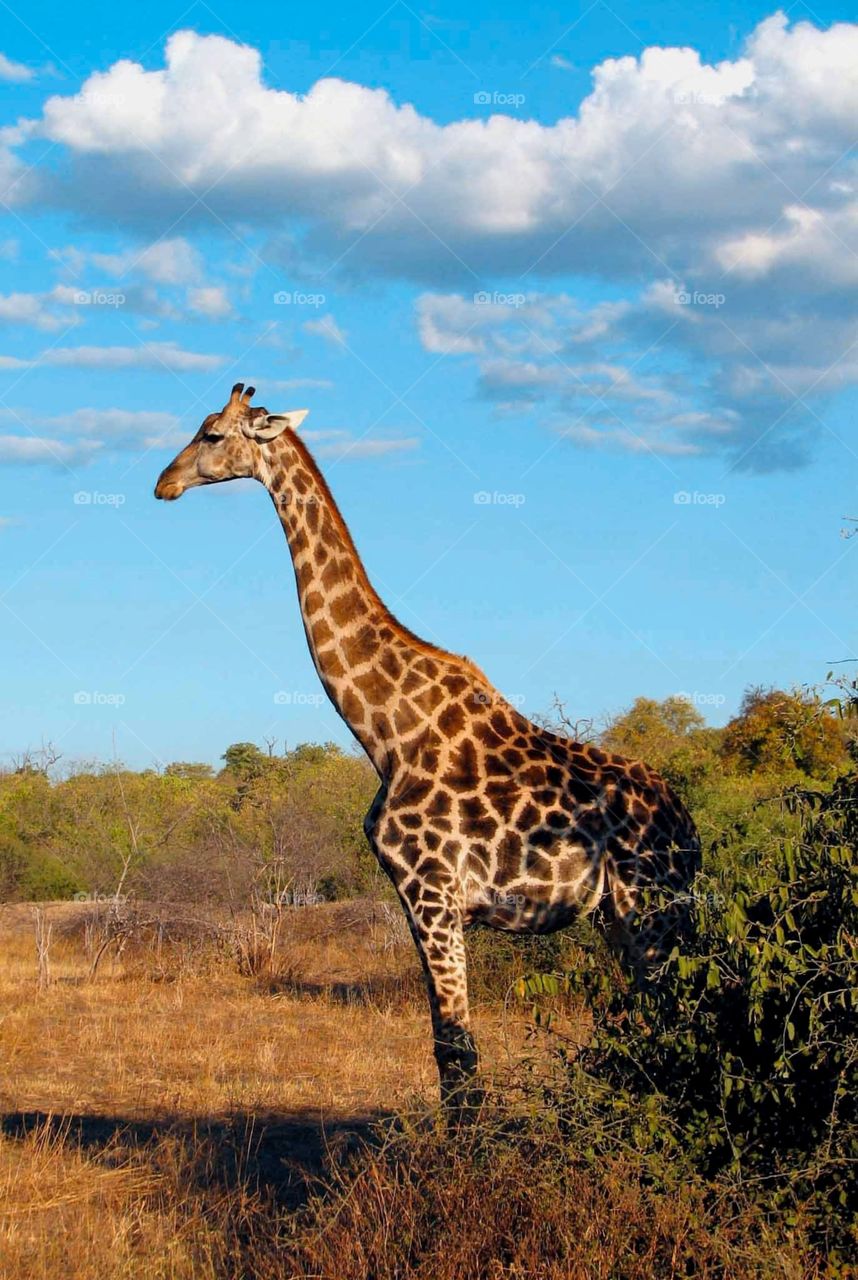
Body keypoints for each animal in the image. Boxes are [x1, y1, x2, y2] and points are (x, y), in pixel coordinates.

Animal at [155, 383, 701, 1109]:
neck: (385, 733)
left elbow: (457, 1058)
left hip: (653, 912)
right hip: (621, 917)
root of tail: (691, 833)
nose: (164, 483)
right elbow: (449, 1053)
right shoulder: (419, 898)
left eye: (212, 434)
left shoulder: (432, 892)